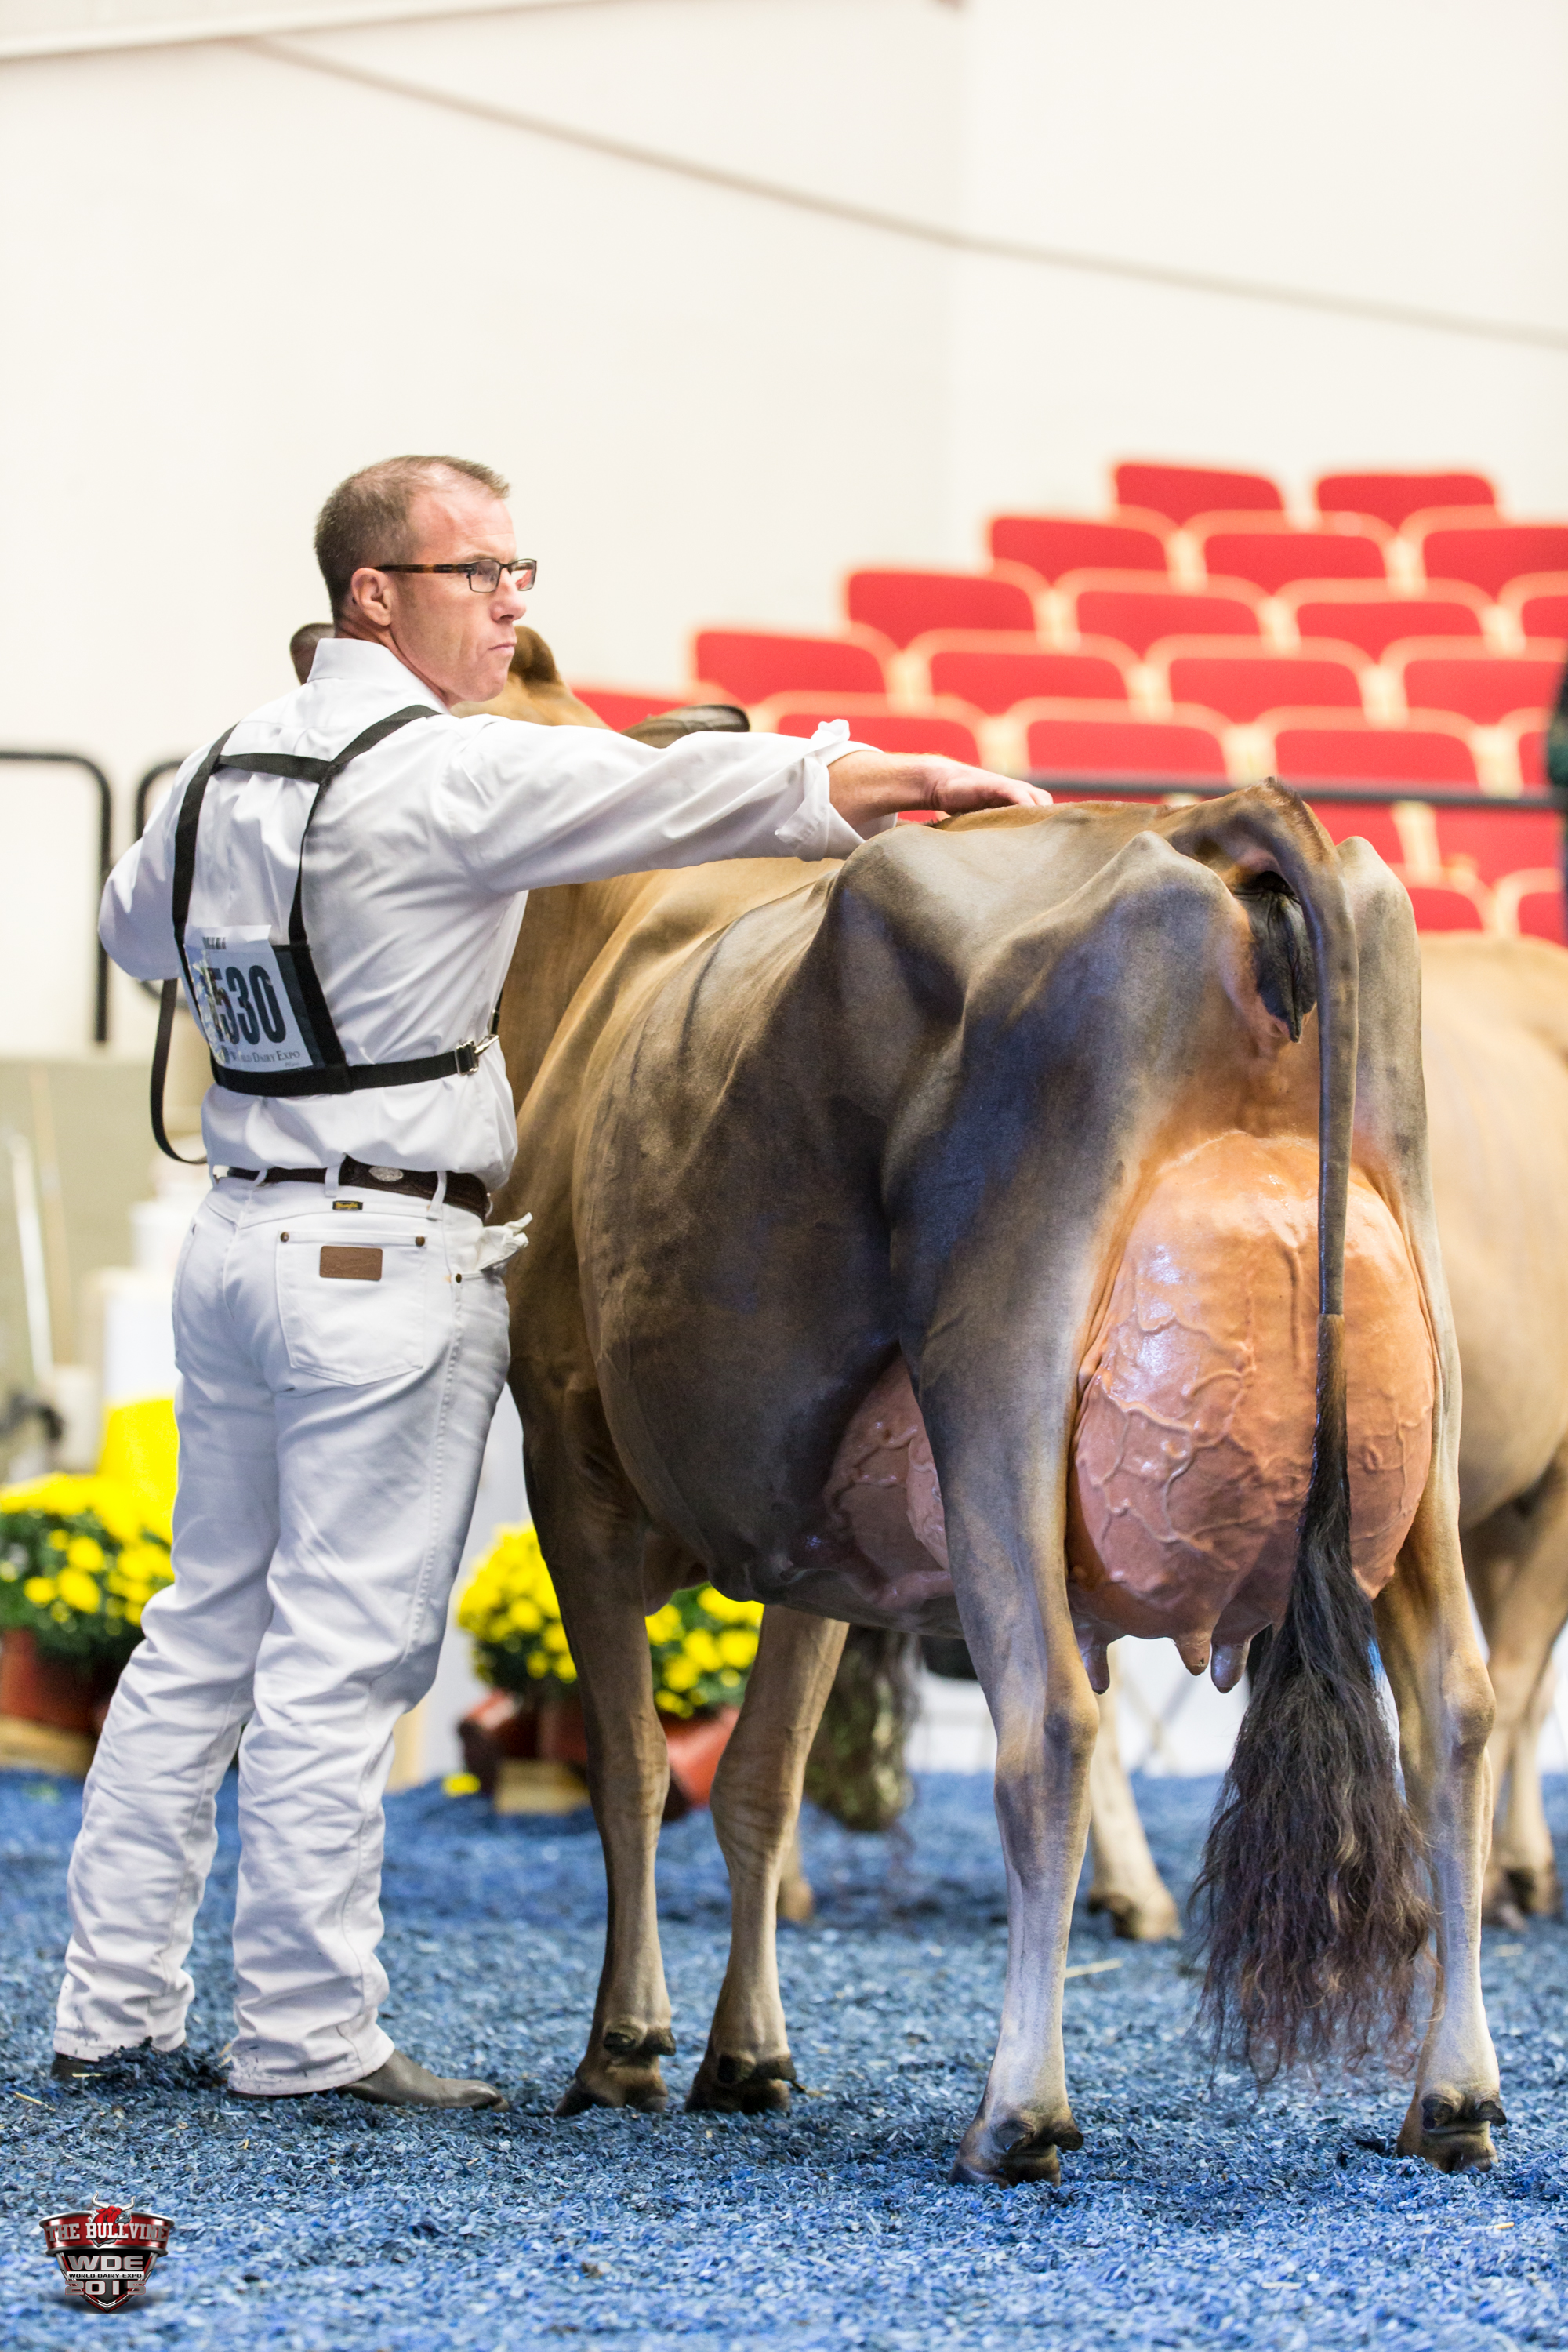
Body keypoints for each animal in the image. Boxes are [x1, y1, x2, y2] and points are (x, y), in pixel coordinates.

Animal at [491, 786, 1503, 2184]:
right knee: (1455, 1709)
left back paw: (1018, 2112)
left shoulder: (565, 1458)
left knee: (1052, 1728)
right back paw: (1452, 2099)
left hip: (998, 1373)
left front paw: (626, 2046)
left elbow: (633, 1771)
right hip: (1420, 1397)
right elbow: (759, 1781)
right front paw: (746, 2057)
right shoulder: (818, 1536)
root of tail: (1210, 824)